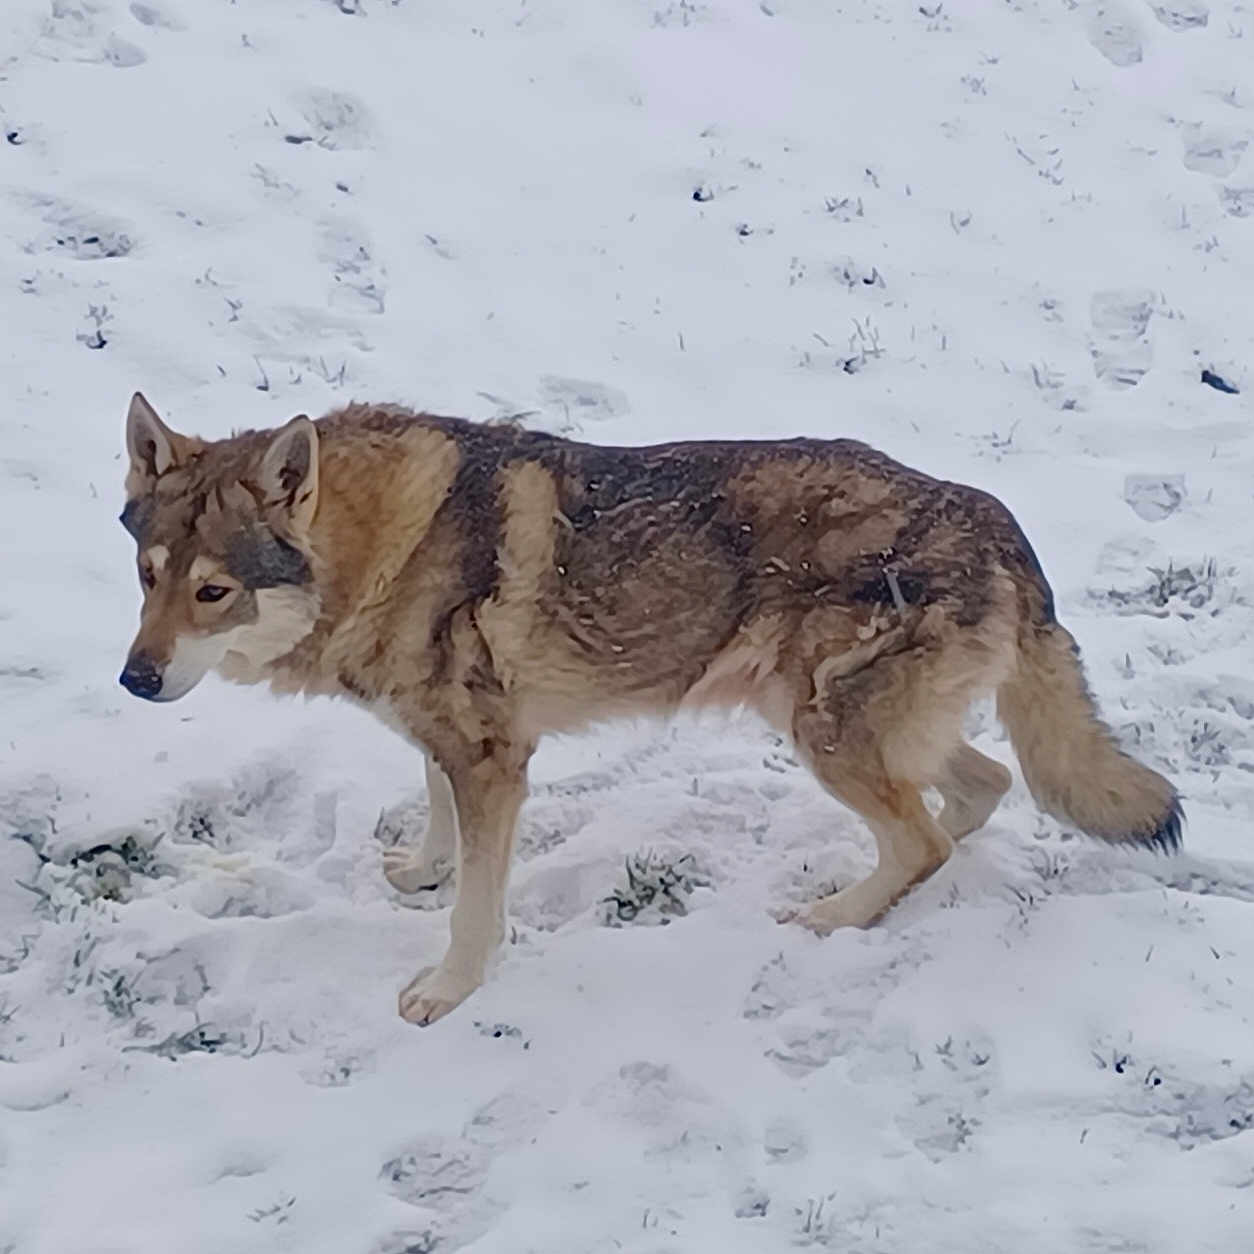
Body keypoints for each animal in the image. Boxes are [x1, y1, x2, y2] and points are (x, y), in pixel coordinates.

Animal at [119, 392, 1182, 1024]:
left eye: (214, 593)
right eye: (147, 577)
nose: (134, 680)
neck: (382, 547)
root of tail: (998, 519)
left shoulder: (495, 759)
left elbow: (475, 910)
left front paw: (447, 991)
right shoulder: (446, 738)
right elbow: (438, 822)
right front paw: (423, 869)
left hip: (819, 731)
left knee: (924, 836)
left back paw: (836, 916)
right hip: (843, 725)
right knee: (978, 792)